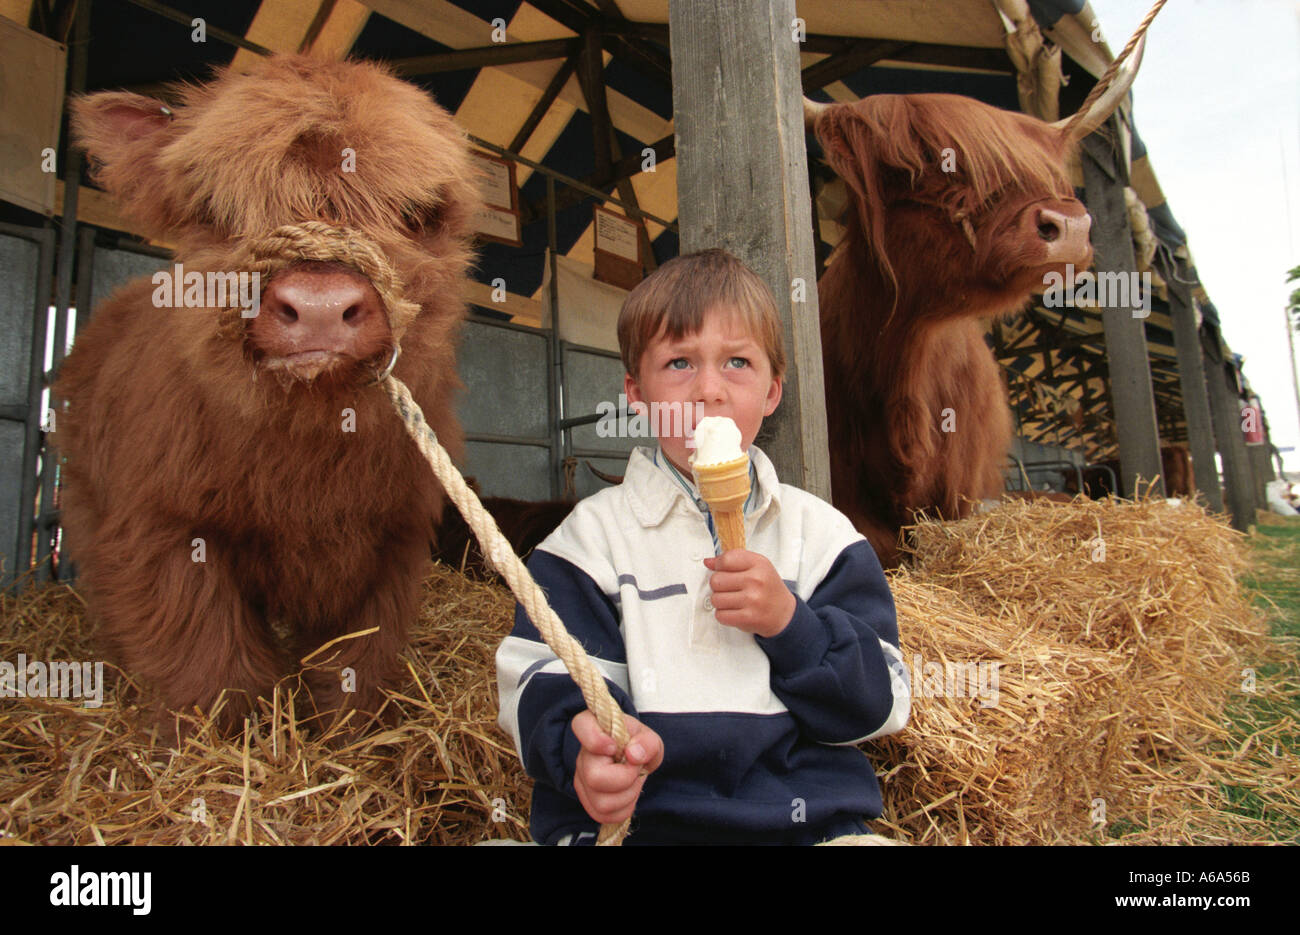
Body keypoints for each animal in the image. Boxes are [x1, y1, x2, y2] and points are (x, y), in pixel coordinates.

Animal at [55, 54, 480, 733]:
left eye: (419, 214)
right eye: (211, 209)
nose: (319, 307)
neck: (303, 466)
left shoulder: (392, 541)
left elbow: (356, 664)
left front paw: (351, 734)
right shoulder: (166, 528)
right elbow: (211, 662)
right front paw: (222, 742)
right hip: (88, 498)